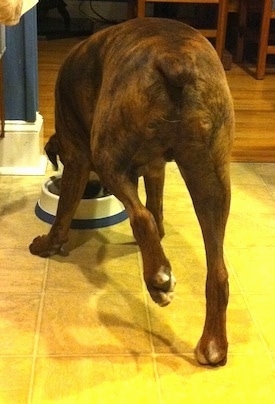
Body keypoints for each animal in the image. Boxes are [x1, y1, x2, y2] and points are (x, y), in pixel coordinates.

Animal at [31, 18, 236, 366]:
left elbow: (63, 213)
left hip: (107, 152)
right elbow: (157, 207)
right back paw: (213, 344)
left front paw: (49, 244)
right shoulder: (156, 169)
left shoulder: (77, 158)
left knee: (140, 218)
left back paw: (158, 279)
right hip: (212, 180)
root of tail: (173, 58)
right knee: (217, 269)